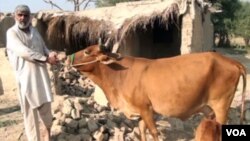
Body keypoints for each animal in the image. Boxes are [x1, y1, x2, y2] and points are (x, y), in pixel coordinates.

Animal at [66, 44, 246, 141]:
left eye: (87, 51)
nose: (67, 57)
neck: (119, 74)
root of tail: (232, 61)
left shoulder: (145, 109)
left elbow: (153, 132)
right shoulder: (142, 111)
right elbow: (141, 130)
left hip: (221, 106)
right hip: (210, 110)